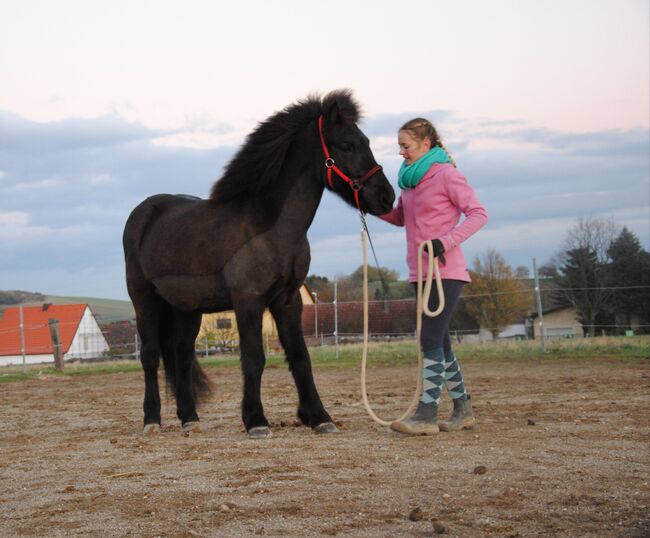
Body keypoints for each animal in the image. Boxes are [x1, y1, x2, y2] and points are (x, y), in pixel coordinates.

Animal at [122, 90, 394, 438]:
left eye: (366, 141)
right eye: (347, 145)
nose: (386, 197)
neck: (271, 228)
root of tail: (143, 212)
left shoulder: (288, 301)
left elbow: (300, 356)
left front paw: (319, 416)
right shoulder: (248, 300)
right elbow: (253, 358)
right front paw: (256, 420)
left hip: (187, 309)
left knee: (181, 354)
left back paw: (190, 418)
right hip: (144, 300)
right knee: (150, 355)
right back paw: (152, 420)